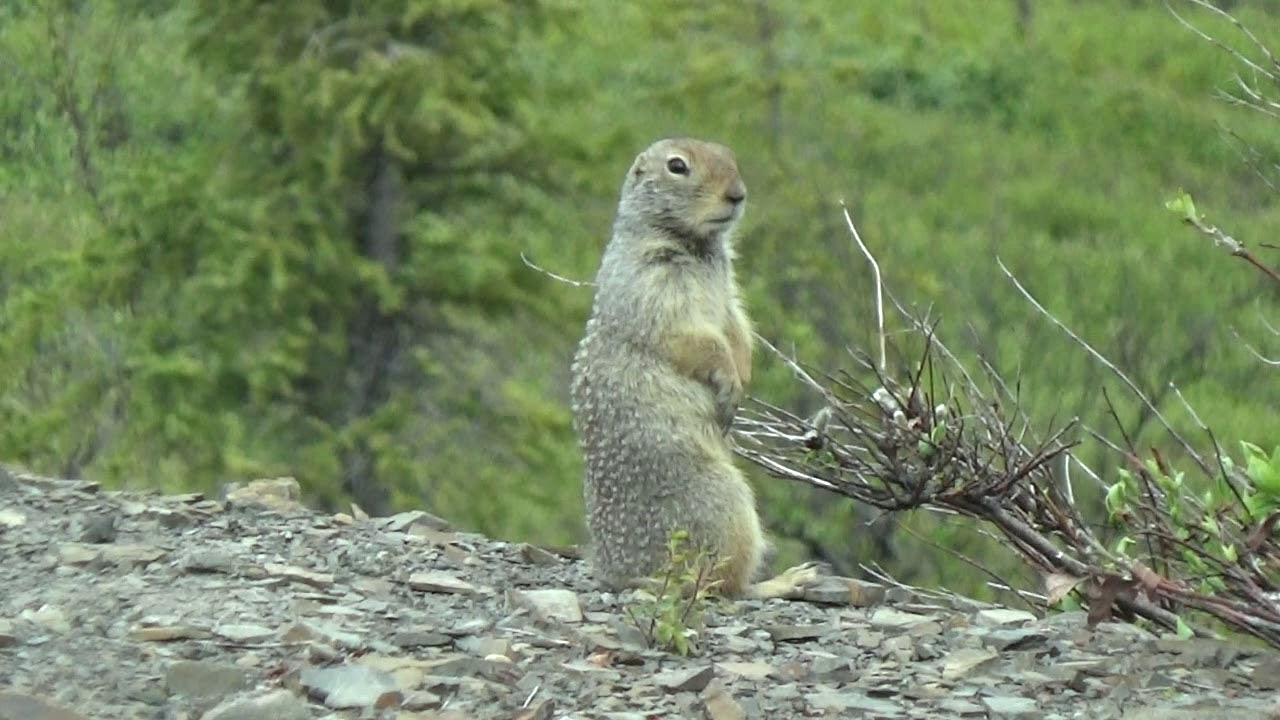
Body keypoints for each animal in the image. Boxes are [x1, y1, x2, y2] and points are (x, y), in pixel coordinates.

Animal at [570, 137, 819, 599]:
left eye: (730, 156)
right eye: (677, 166)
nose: (738, 195)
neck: (698, 245)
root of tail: (620, 573)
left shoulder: (728, 291)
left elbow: (736, 326)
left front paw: (745, 371)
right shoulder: (655, 282)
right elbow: (695, 338)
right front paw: (730, 382)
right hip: (724, 502)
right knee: (722, 586)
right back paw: (785, 580)